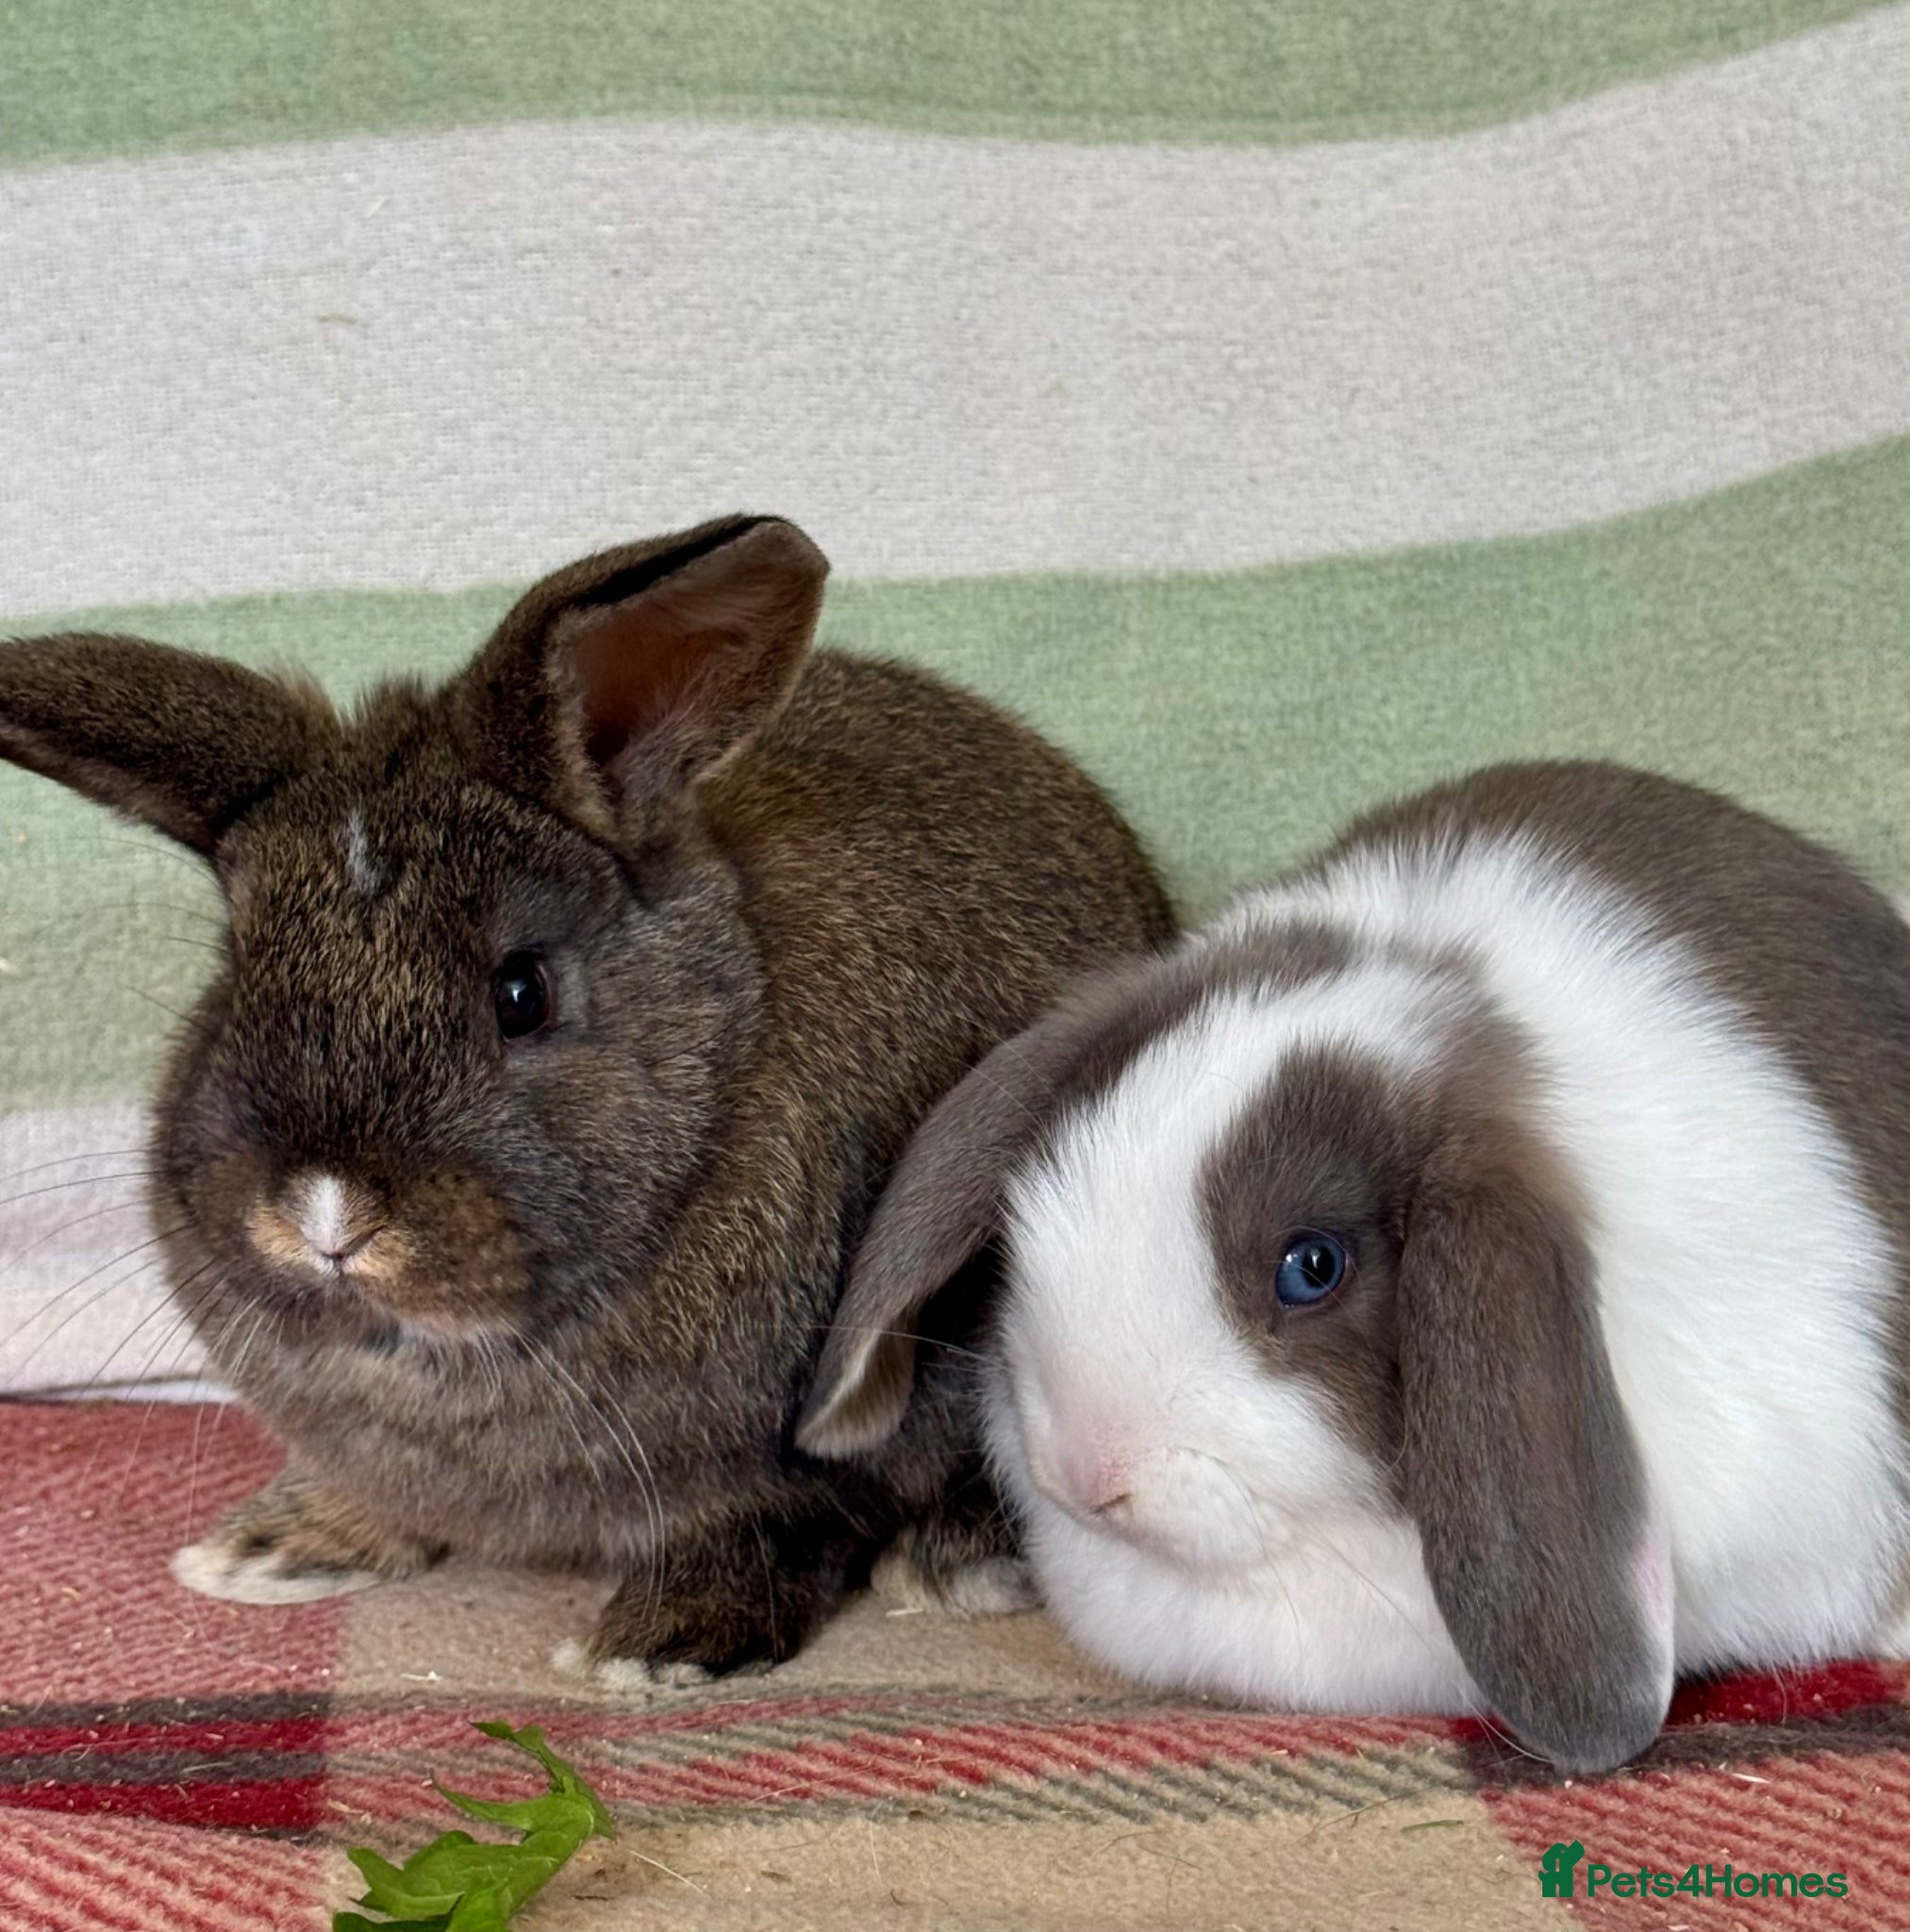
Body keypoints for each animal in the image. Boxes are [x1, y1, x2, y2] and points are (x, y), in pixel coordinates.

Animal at [0, 514, 1176, 1683]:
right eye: (237, 973)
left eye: (521, 991)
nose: (323, 1216)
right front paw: (279, 1546)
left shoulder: (792, 1461)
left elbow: (767, 1526)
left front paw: (657, 1648)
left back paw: (958, 1562)